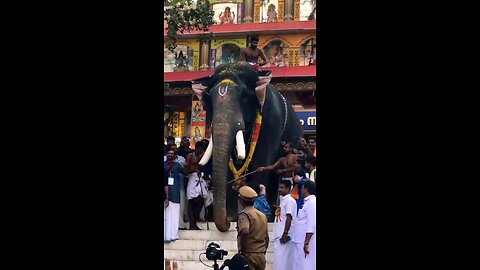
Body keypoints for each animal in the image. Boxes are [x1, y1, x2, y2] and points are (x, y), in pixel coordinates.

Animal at [190, 61, 300, 232]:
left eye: (245, 95)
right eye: (210, 96)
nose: (227, 222)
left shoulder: (271, 120)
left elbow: (262, 161)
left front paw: (258, 213)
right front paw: (232, 217)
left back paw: (271, 214)